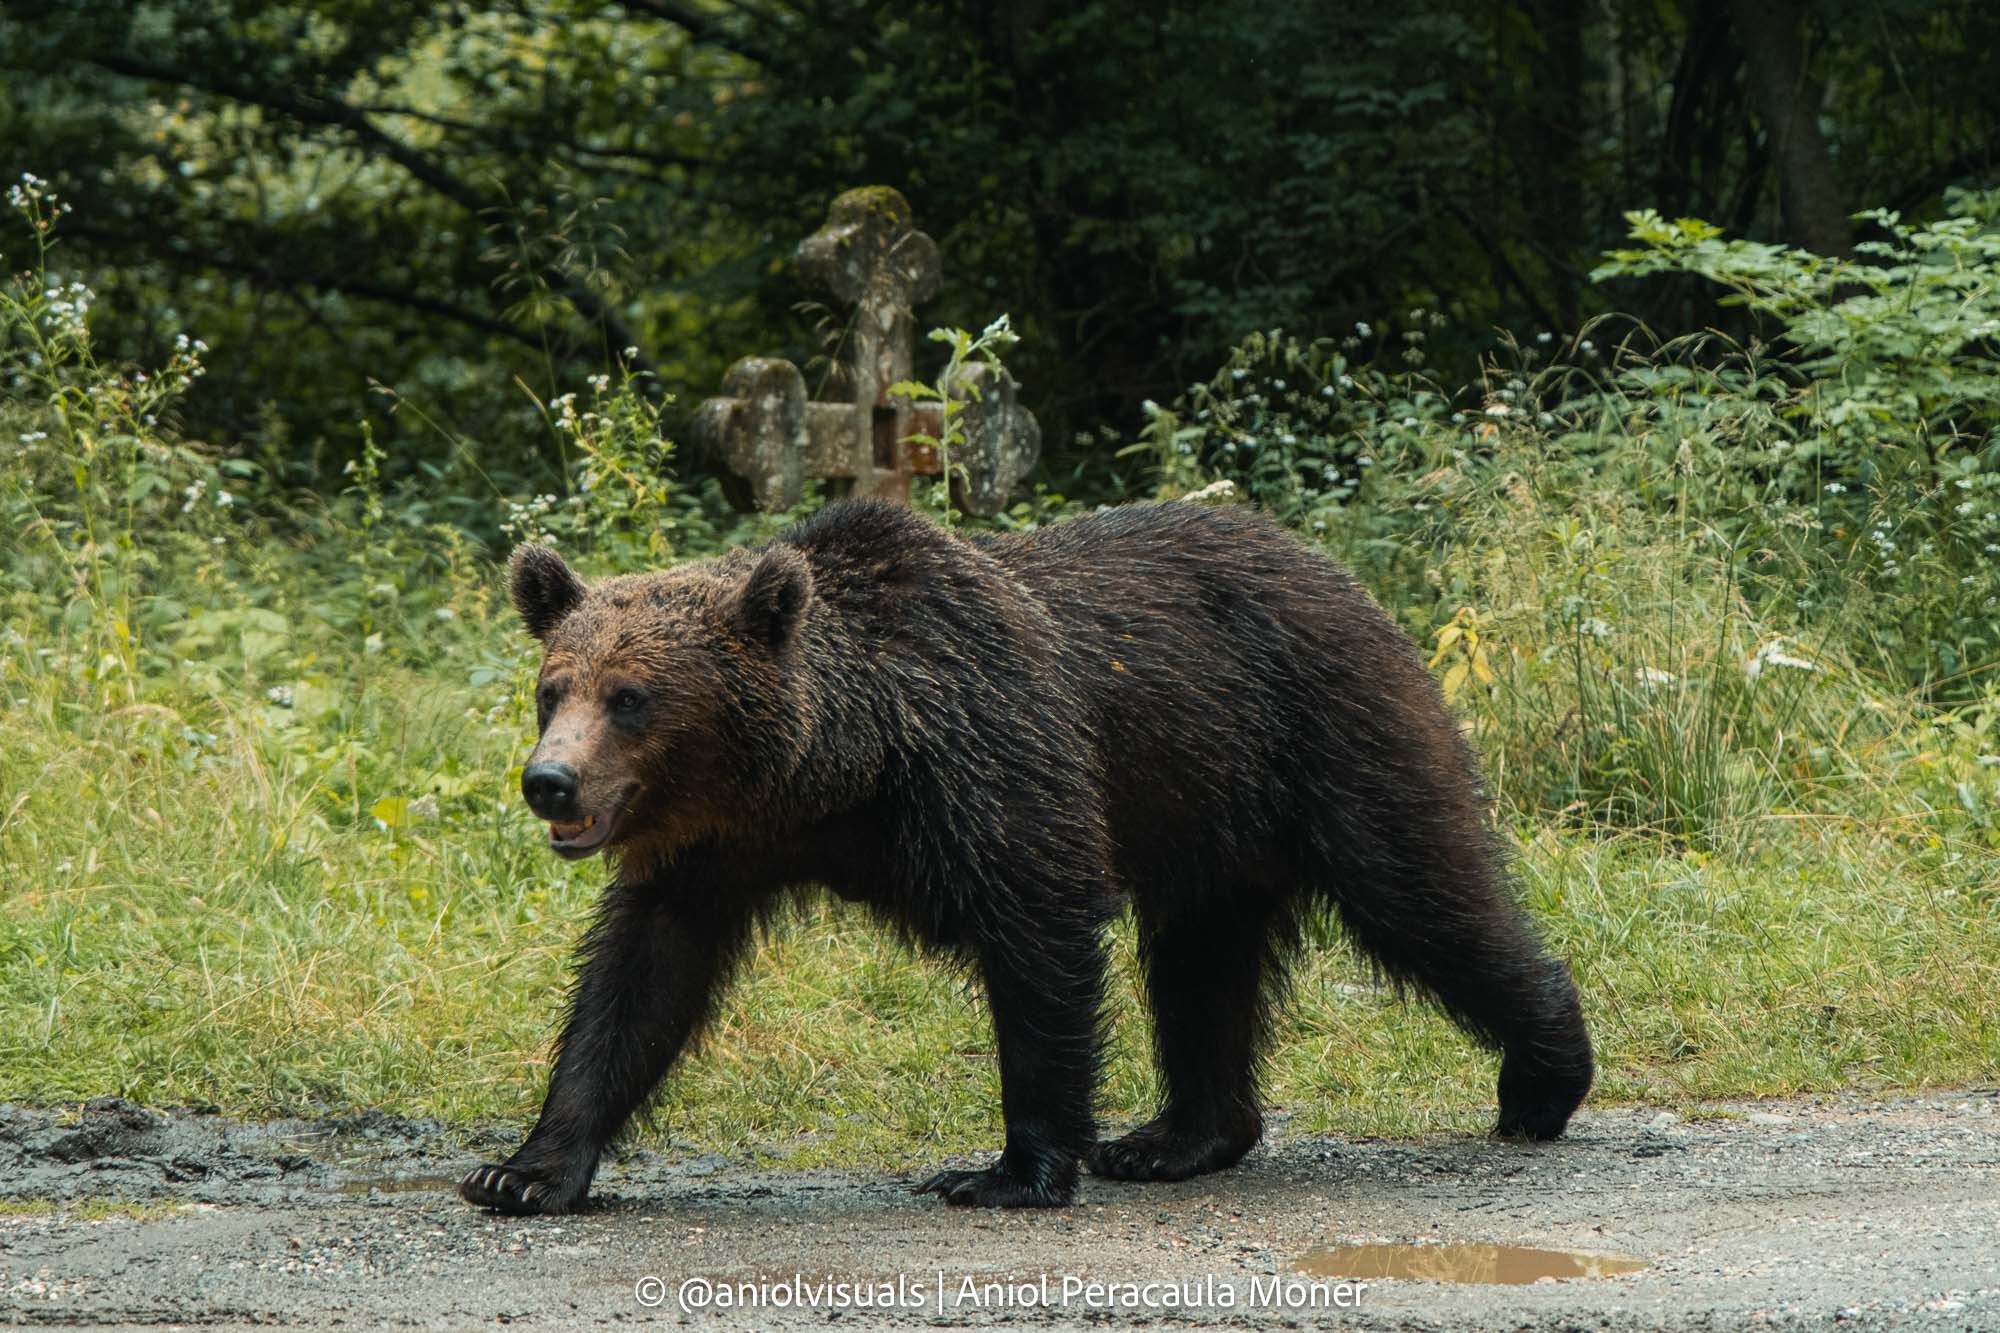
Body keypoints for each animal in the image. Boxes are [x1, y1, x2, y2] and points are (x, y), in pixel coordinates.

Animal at [458, 497, 1592, 1215]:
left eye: (633, 697)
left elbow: (1038, 936)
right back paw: (1174, 1136)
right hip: (1207, 815)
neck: (837, 770)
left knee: (1421, 892)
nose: (549, 782)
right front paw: (524, 1169)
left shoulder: (990, 760)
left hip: (1326, 734)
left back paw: (1543, 1077)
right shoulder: (710, 851)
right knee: (1199, 966)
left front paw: (1010, 1169)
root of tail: (1333, 568)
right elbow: (638, 983)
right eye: (552, 686)